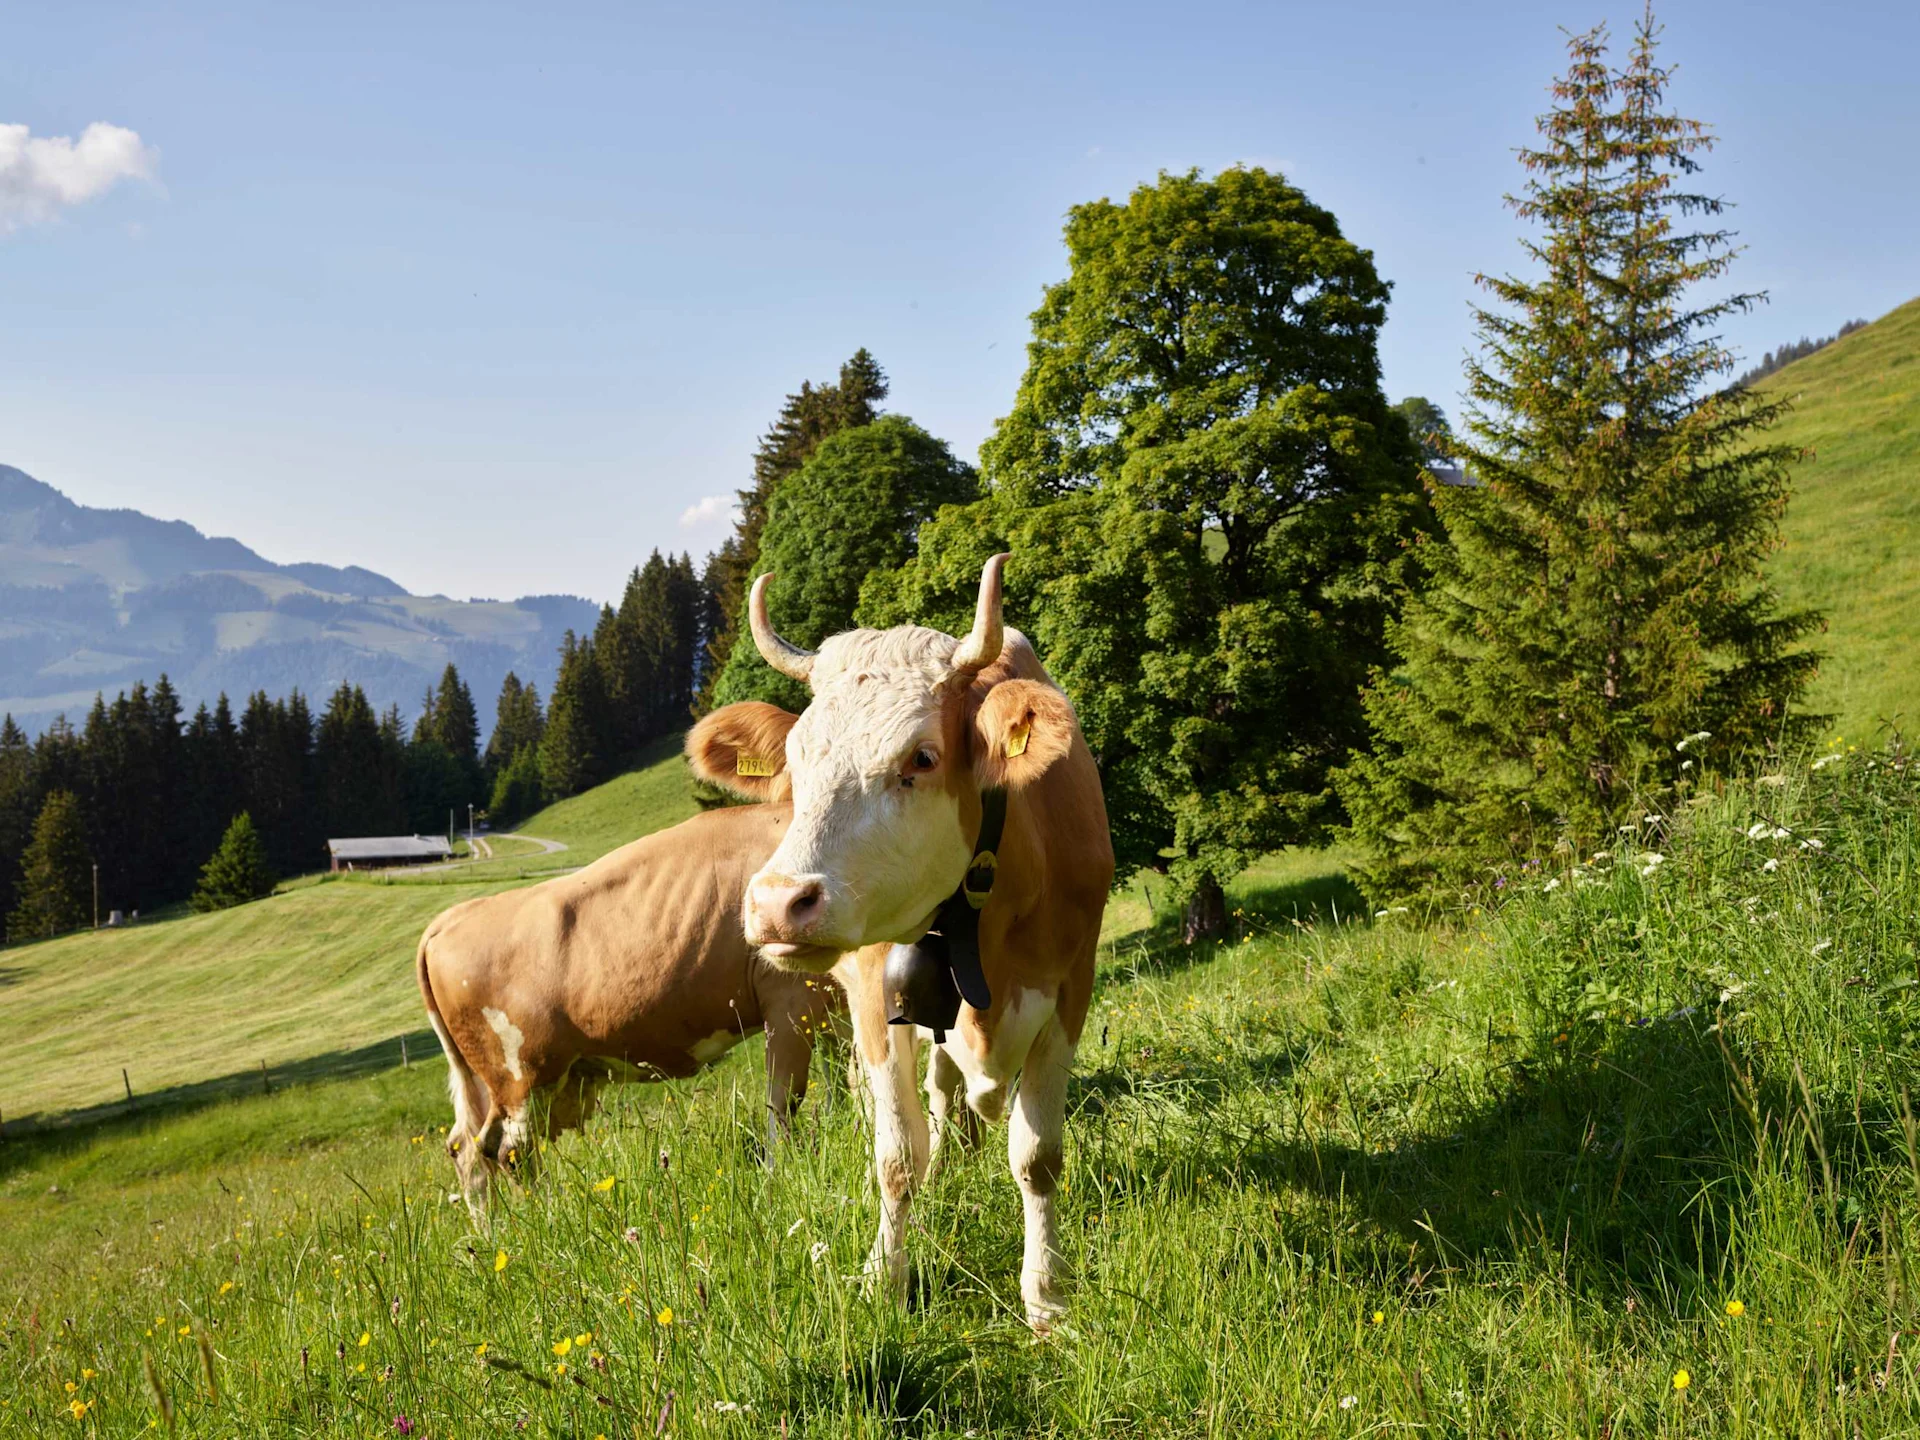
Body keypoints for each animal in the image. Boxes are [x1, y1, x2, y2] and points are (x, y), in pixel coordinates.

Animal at [416, 800, 842, 1211]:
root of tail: (452, 916)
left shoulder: (834, 1010)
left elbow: (842, 1083)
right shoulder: (789, 1001)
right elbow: (783, 1102)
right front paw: (780, 1182)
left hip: (485, 1078)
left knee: (469, 1148)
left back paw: (498, 1229)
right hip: (523, 1074)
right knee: (510, 1151)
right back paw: (553, 1217)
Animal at [686, 554, 1113, 1329]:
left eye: (922, 757)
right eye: (795, 760)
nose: (777, 903)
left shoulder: (1071, 986)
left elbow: (1037, 1154)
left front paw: (1047, 1297)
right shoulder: (873, 998)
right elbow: (895, 1156)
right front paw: (883, 1278)